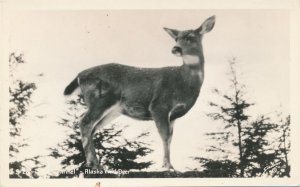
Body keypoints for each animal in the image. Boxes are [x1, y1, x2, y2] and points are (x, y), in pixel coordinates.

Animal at [63, 15, 216, 171]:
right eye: (176, 39)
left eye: (190, 37)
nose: (176, 48)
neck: (183, 82)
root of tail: (79, 76)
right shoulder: (159, 105)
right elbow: (165, 136)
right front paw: (167, 166)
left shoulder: (173, 116)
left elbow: (170, 138)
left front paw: (169, 164)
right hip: (101, 98)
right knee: (85, 122)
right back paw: (94, 164)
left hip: (113, 110)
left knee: (91, 127)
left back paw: (94, 163)